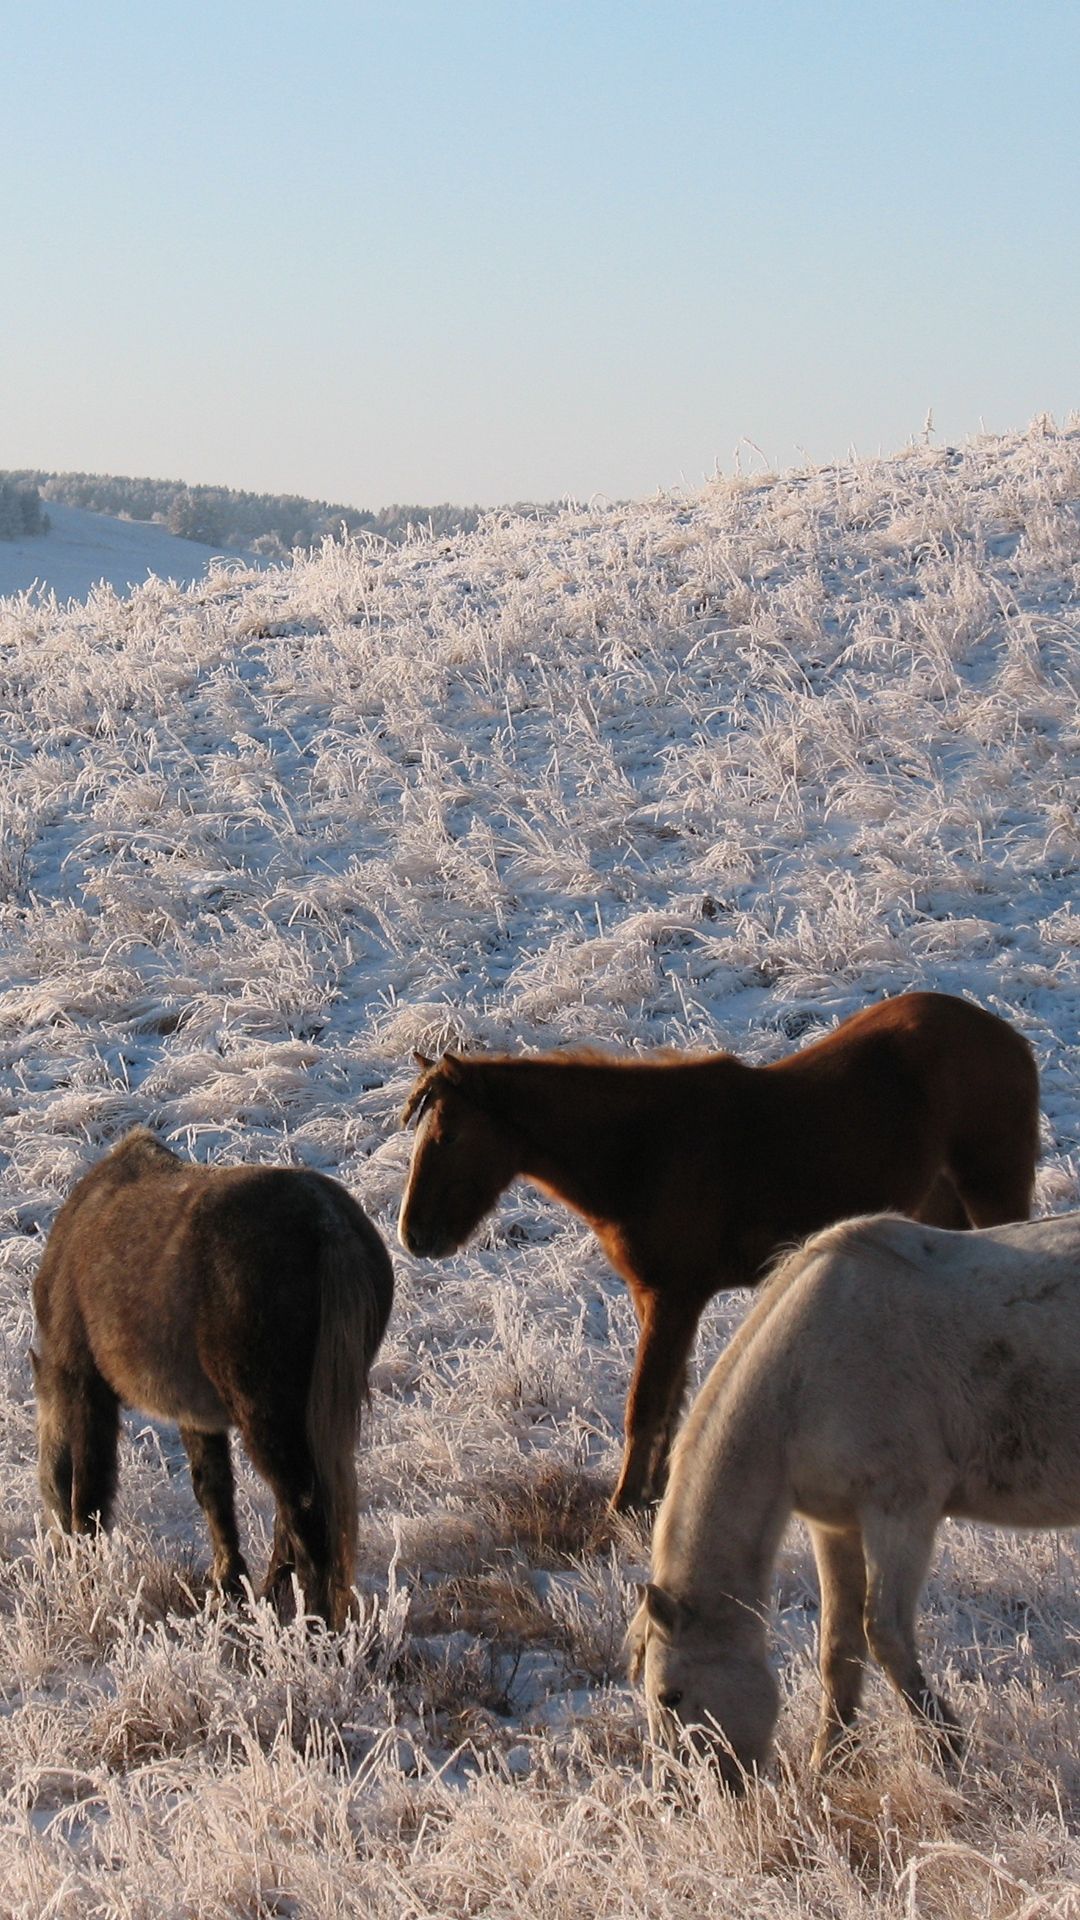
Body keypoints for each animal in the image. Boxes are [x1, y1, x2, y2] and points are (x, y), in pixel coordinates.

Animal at [32, 1128, 395, 1628]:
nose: (54, 1554)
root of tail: (327, 1222)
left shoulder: (86, 1387)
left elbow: (90, 1495)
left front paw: (88, 1582)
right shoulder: (196, 1413)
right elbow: (213, 1491)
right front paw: (229, 1584)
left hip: (267, 1415)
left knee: (305, 1513)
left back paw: (312, 1624)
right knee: (294, 1512)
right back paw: (272, 1599)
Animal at [397, 990, 1037, 1512]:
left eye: (448, 1136)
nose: (414, 1236)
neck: (643, 1150)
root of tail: (1004, 1034)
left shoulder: (674, 1296)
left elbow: (647, 1402)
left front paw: (624, 1505)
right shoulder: (656, 1297)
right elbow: (671, 1397)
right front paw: (652, 1495)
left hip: (994, 1190)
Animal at [626, 1213, 1080, 1781]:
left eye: (671, 1695)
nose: (691, 1792)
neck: (804, 1379)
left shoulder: (900, 1513)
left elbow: (883, 1632)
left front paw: (948, 1749)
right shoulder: (836, 1525)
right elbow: (839, 1649)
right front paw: (828, 1764)